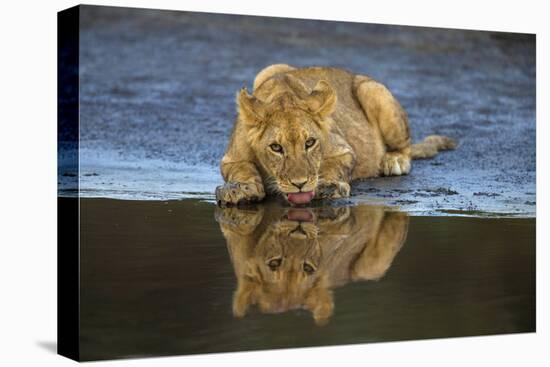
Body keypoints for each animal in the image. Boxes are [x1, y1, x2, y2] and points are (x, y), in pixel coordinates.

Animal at [216, 64, 458, 206]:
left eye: (310, 142)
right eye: (276, 147)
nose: (300, 184)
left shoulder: (343, 150)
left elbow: (333, 166)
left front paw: (328, 186)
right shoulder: (231, 159)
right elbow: (241, 169)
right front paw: (239, 189)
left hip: (372, 90)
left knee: (405, 147)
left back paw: (394, 160)